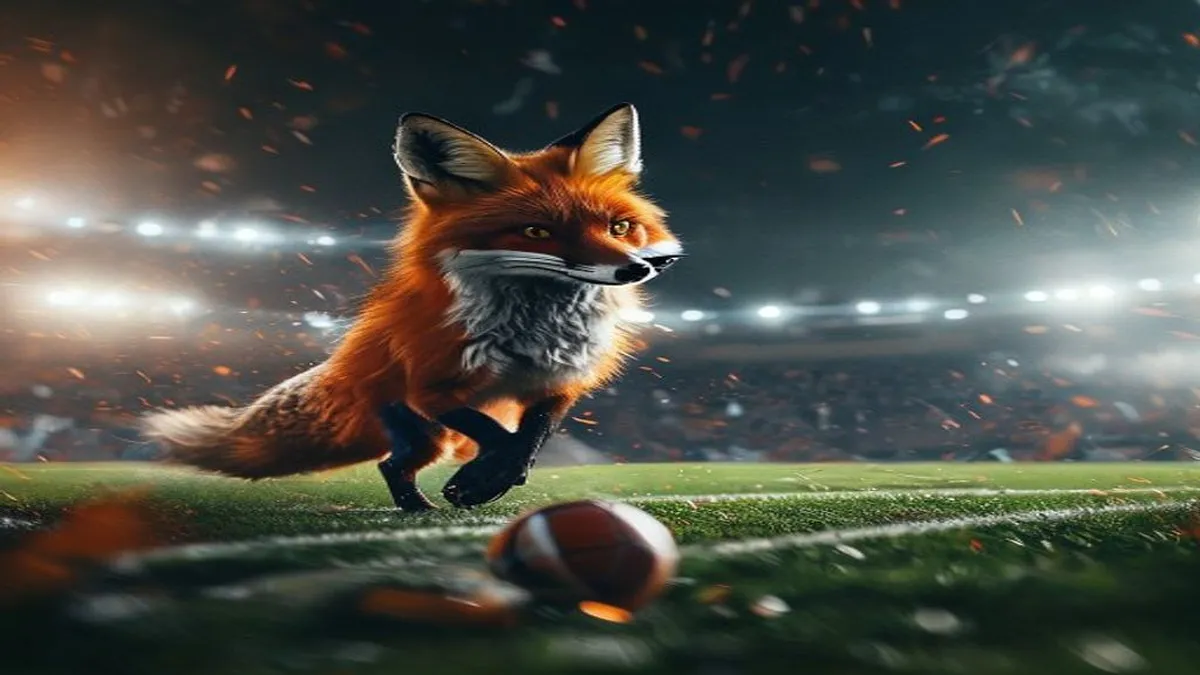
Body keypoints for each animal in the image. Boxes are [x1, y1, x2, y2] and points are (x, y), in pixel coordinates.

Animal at [141, 103, 682, 511]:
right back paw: (417, 510)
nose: (635, 269)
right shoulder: (433, 388)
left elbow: (530, 438)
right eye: (536, 232)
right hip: (422, 426)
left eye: (618, 227)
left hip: (429, 436)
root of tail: (346, 364)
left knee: (393, 462)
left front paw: (489, 479)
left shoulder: (560, 381)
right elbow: (497, 435)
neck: (535, 329)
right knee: (391, 463)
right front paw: (480, 481)